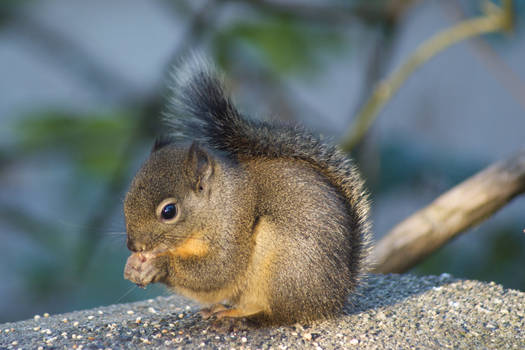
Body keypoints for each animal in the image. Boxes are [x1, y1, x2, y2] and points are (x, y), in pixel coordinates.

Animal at [123, 58, 370, 324]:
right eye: (126, 201)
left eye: (168, 211)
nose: (134, 247)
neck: (216, 205)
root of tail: (333, 299)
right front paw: (132, 266)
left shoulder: (233, 226)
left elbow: (218, 271)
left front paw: (158, 266)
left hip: (287, 264)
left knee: (283, 313)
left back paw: (245, 317)